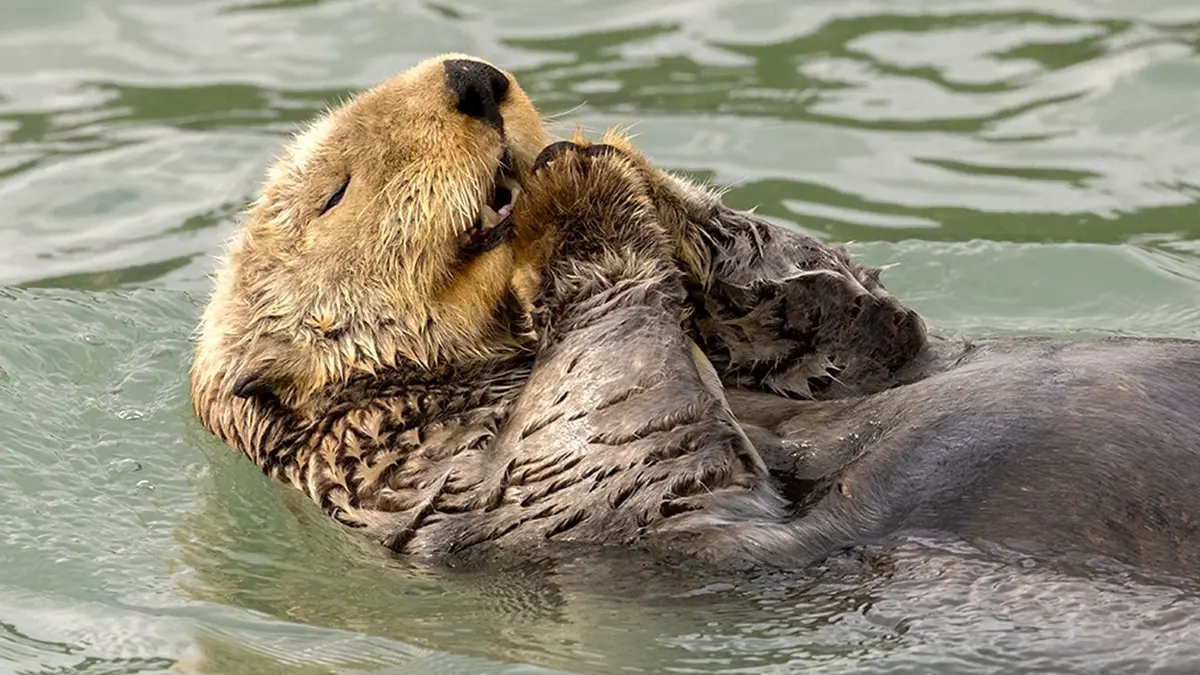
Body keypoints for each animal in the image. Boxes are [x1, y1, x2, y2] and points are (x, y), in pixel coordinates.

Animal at [190, 53, 1200, 577]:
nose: (473, 79)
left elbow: (862, 326)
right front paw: (578, 197)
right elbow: (619, 436)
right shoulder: (431, 478)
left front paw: (610, 158)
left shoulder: (854, 349)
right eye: (333, 192)